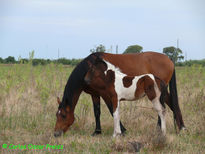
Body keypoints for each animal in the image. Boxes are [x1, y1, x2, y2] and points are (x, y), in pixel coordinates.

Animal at [53, 52, 185, 137]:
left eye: (63, 115)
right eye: (56, 115)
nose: (56, 134)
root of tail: (170, 60)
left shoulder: (107, 95)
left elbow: (113, 112)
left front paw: (121, 131)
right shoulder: (95, 94)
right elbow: (97, 112)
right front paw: (97, 132)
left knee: (169, 107)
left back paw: (177, 129)